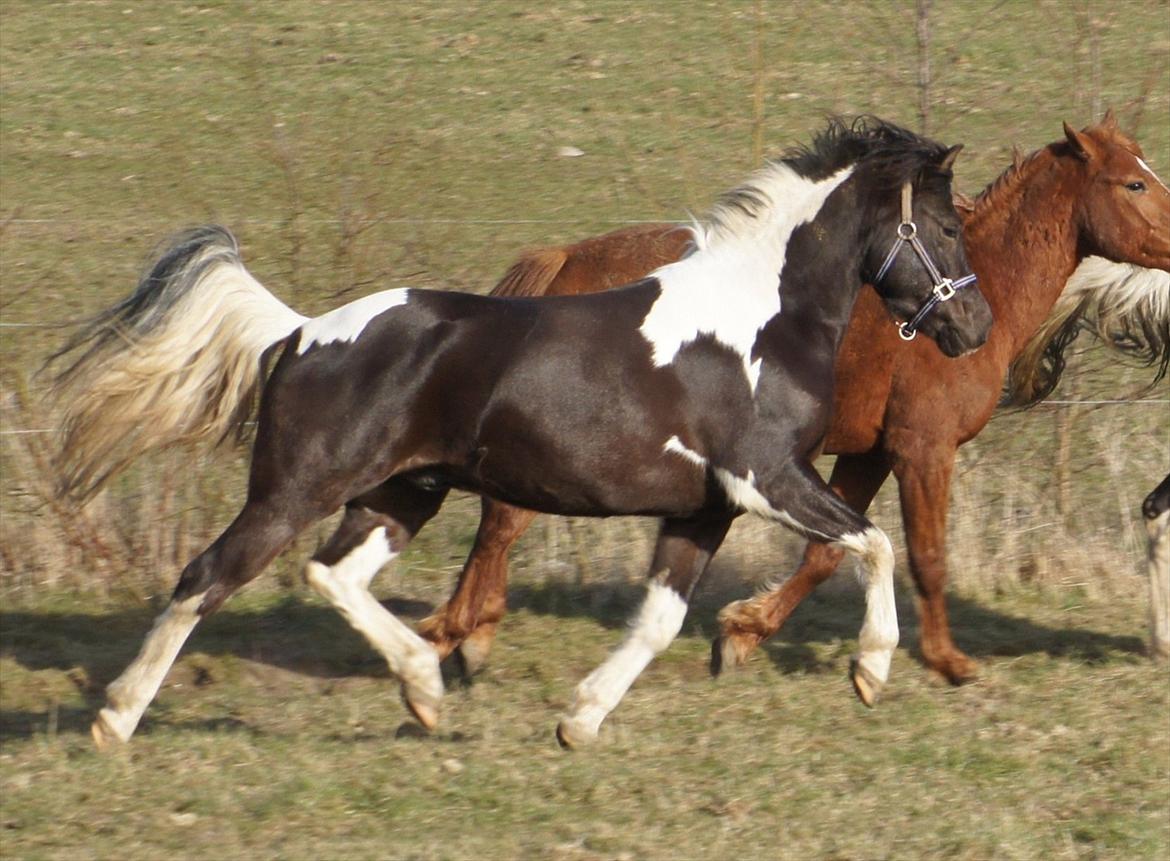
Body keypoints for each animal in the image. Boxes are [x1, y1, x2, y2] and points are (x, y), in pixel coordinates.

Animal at [49, 117, 991, 748]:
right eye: (947, 227)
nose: (975, 327)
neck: (759, 319)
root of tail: (303, 331)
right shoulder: (770, 478)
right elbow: (872, 541)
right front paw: (870, 671)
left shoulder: (705, 506)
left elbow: (660, 620)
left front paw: (580, 719)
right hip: (296, 488)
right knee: (206, 577)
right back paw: (116, 718)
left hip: (402, 495)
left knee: (331, 574)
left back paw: (425, 693)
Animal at [414, 112, 1170, 686]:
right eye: (1135, 180)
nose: (972, 325)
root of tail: (567, 259)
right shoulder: (922, 450)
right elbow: (927, 554)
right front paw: (947, 660)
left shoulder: (868, 453)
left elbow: (829, 553)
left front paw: (743, 633)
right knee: (503, 521)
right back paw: (456, 633)